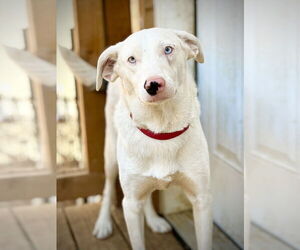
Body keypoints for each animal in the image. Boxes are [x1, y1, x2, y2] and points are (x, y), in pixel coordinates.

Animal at [92, 27, 212, 250]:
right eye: (131, 59)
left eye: (168, 49)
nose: (154, 84)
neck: (161, 130)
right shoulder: (130, 204)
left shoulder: (202, 199)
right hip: (111, 156)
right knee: (108, 187)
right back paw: (103, 223)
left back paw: (153, 220)